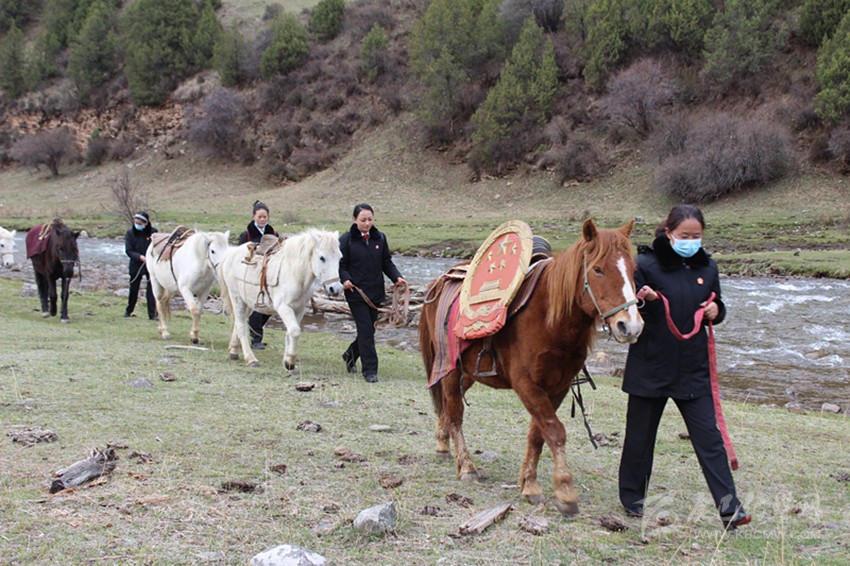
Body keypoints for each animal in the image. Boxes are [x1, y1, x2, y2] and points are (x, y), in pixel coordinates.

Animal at [217, 228, 343, 370]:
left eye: (340, 257)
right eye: (322, 258)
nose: (335, 288)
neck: (295, 273)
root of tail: (231, 253)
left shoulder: (299, 309)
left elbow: (290, 332)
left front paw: (287, 361)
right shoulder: (284, 307)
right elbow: (294, 331)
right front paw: (290, 362)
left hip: (248, 303)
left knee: (240, 323)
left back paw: (234, 351)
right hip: (237, 299)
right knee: (241, 326)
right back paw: (251, 359)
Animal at [418, 219, 644, 517]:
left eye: (632, 270)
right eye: (598, 269)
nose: (630, 327)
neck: (549, 319)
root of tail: (439, 282)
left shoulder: (558, 388)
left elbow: (538, 434)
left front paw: (529, 485)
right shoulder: (527, 384)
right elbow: (554, 431)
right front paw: (565, 491)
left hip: (466, 373)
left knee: (446, 405)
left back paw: (443, 444)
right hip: (450, 368)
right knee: (455, 412)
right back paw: (466, 466)